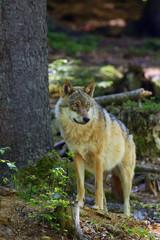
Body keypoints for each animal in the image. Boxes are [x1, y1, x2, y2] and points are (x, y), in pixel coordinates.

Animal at [55, 80, 136, 216]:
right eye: (76, 105)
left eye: (87, 105)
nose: (86, 118)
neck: (80, 134)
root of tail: (129, 132)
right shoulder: (77, 157)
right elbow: (81, 185)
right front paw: (79, 203)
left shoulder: (97, 158)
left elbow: (97, 187)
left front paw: (97, 207)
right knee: (105, 195)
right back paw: (105, 210)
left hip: (125, 177)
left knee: (127, 202)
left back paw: (125, 215)